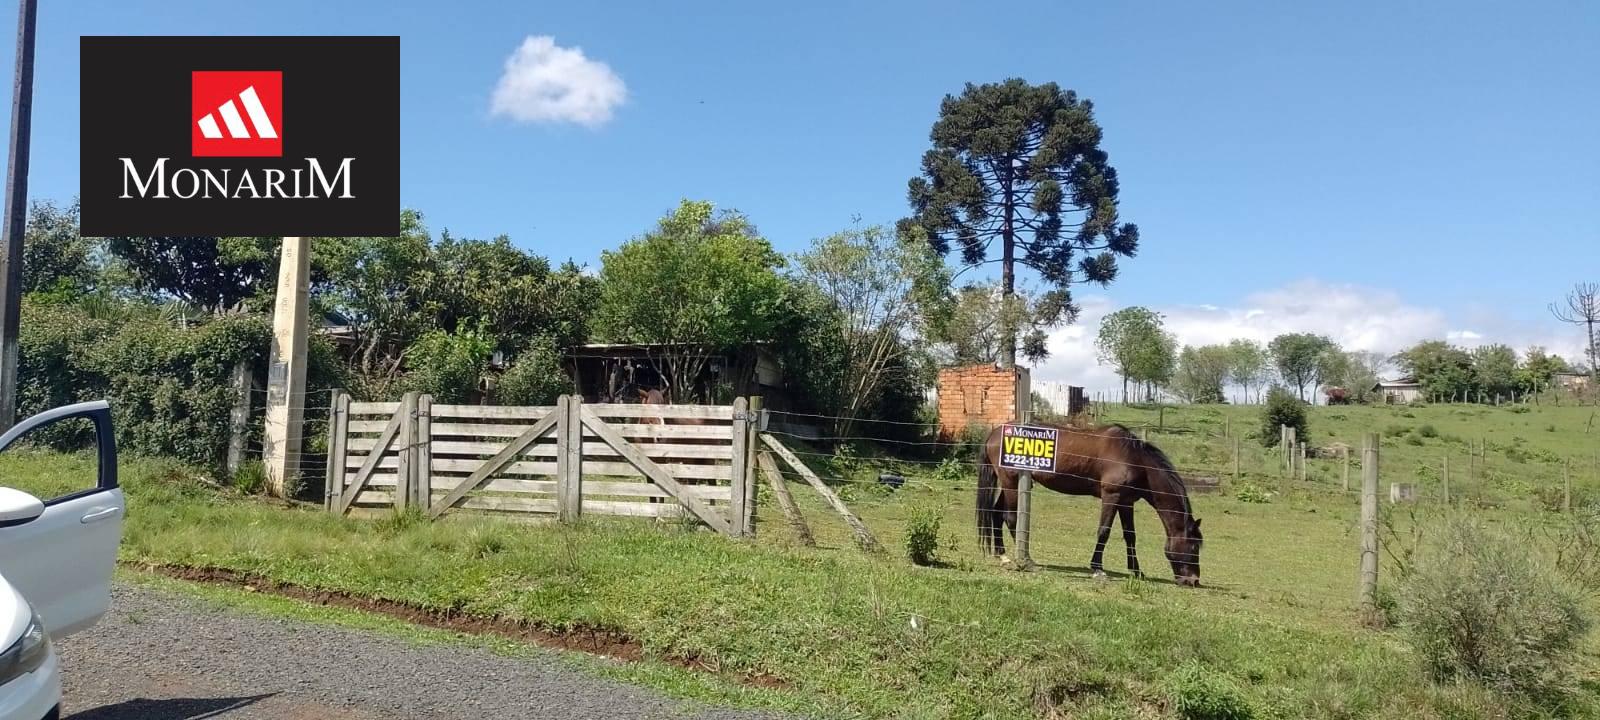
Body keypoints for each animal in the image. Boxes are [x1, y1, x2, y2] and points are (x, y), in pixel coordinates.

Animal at [972, 422, 1203, 585]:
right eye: (1194, 546)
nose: (1193, 581)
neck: (1134, 458)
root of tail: (995, 433)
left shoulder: (1126, 502)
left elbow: (1130, 536)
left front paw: (1136, 571)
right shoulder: (1111, 496)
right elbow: (1104, 531)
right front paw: (1097, 568)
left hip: (1009, 484)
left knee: (996, 514)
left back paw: (1002, 555)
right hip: (1011, 482)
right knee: (1010, 518)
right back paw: (1026, 560)